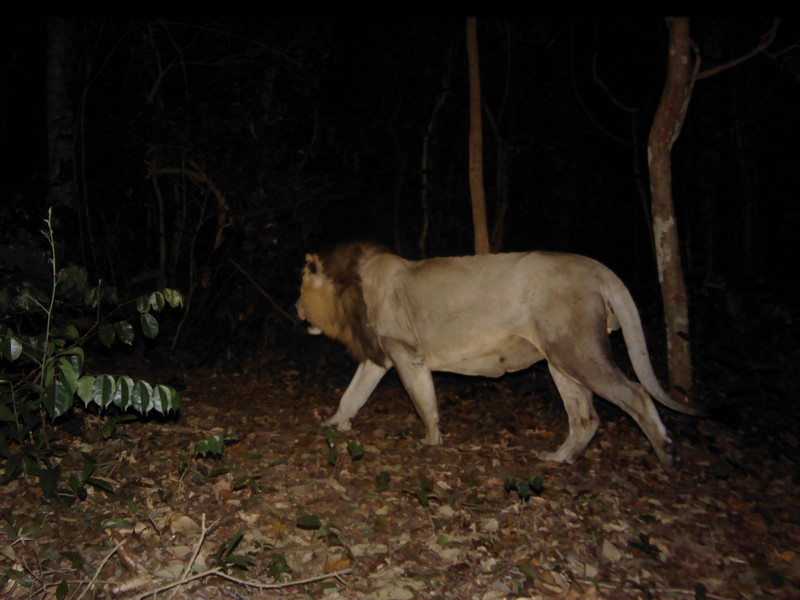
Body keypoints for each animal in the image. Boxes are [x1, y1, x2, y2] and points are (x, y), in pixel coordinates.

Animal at [296, 242, 703, 473]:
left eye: (300, 286)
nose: (296, 306)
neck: (353, 283)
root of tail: (596, 267)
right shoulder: (380, 356)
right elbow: (353, 393)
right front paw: (333, 423)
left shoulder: (405, 351)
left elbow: (422, 399)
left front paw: (431, 441)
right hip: (561, 359)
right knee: (586, 417)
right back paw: (559, 458)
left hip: (577, 350)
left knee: (636, 394)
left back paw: (669, 457)